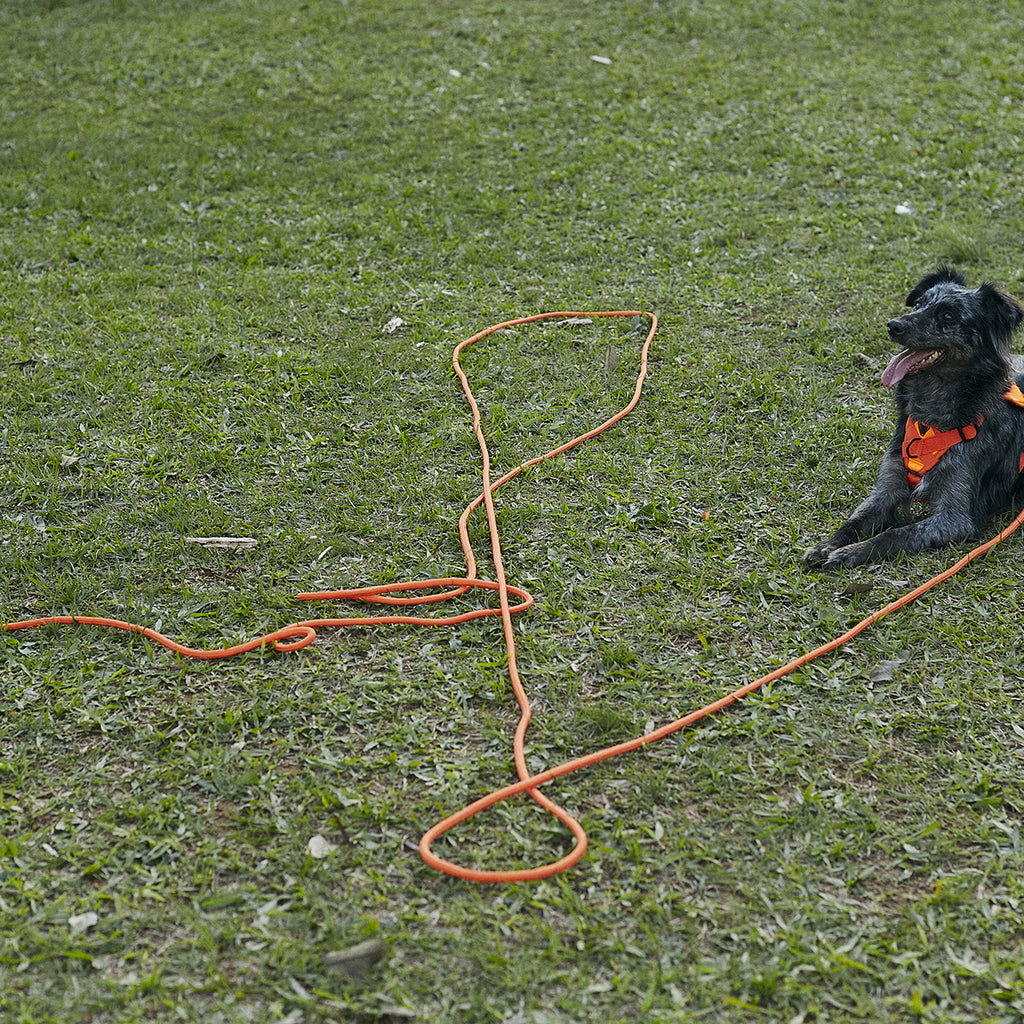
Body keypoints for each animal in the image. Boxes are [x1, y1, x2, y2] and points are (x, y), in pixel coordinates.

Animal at [804, 267, 1024, 568]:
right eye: (919, 304)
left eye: (948, 315)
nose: (893, 325)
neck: (929, 416)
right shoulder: (887, 489)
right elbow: (855, 520)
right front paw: (827, 545)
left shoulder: (955, 519)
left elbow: (895, 534)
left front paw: (849, 553)